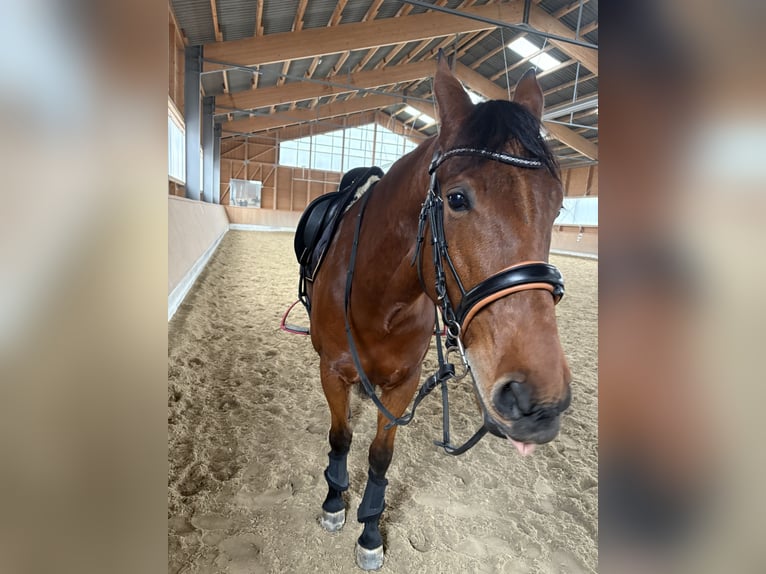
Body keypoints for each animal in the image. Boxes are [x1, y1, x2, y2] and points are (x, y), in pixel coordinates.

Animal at [301, 56, 572, 570]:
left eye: (558, 206)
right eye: (457, 199)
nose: (539, 402)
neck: (377, 298)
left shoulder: (404, 382)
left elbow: (380, 455)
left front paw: (370, 531)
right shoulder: (331, 371)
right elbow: (341, 438)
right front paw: (333, 501)